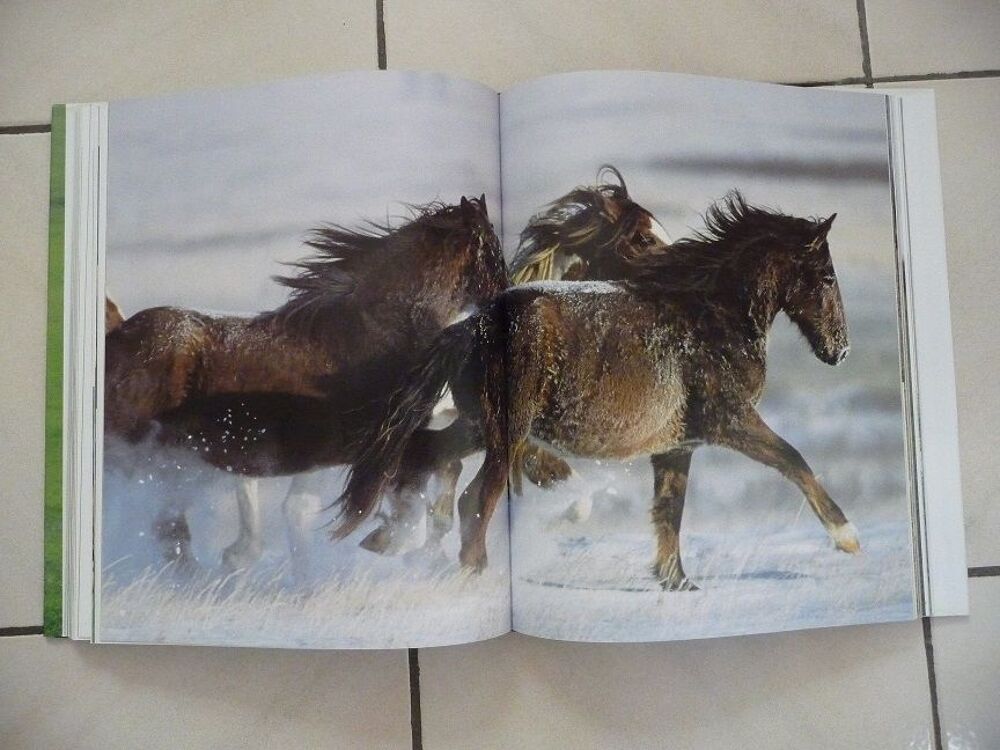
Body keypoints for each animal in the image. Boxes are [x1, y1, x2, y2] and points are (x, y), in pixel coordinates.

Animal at [104, 196, 510, 578]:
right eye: (493, 251)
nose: (508, 309)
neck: (377, 334)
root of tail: (117, 334)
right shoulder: (384, 447)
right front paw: (398, 546)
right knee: (168, 533)